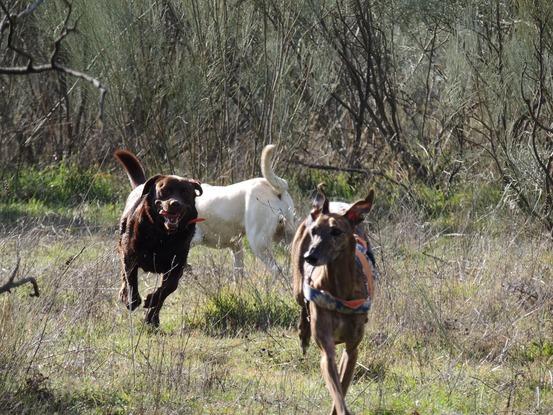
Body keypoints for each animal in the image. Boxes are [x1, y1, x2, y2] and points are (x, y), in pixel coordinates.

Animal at [288, 186, 376, 415]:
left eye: (336, 231)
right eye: (315, 231)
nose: (310, 257)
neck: (340, 289)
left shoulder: (352, 349)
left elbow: (341, 392)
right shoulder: (327, 349)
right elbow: (337, 392)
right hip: (297, 286)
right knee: (302, 304)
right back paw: (303, 334)